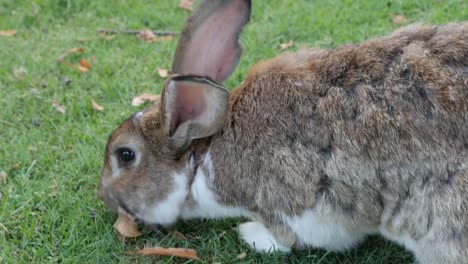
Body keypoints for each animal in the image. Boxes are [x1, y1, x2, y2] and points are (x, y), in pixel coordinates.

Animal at [97, 0, 468, 262]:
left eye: (125, 155)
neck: (201, 155)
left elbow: (292, 239)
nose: (104, 198)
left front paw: (250, 233)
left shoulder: (295, 207)